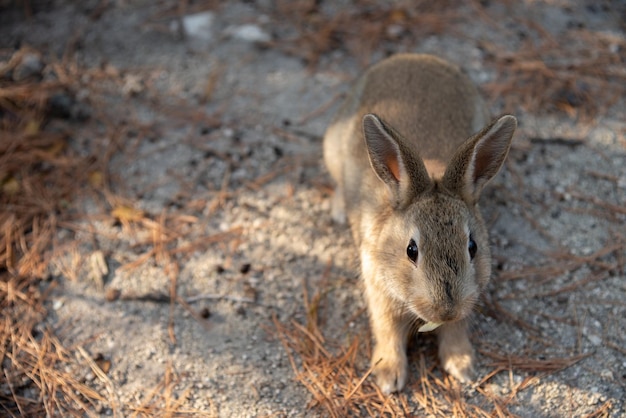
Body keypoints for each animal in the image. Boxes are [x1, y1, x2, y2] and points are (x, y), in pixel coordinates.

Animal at [320, 54, 516, 394]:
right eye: (411, 250)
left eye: (473, 247)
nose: (445, 310)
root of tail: (412, 58)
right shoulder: (378, 291)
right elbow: (387, 331)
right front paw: (389, 376)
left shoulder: (470, 294)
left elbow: (456, 330)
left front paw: (462, 365)